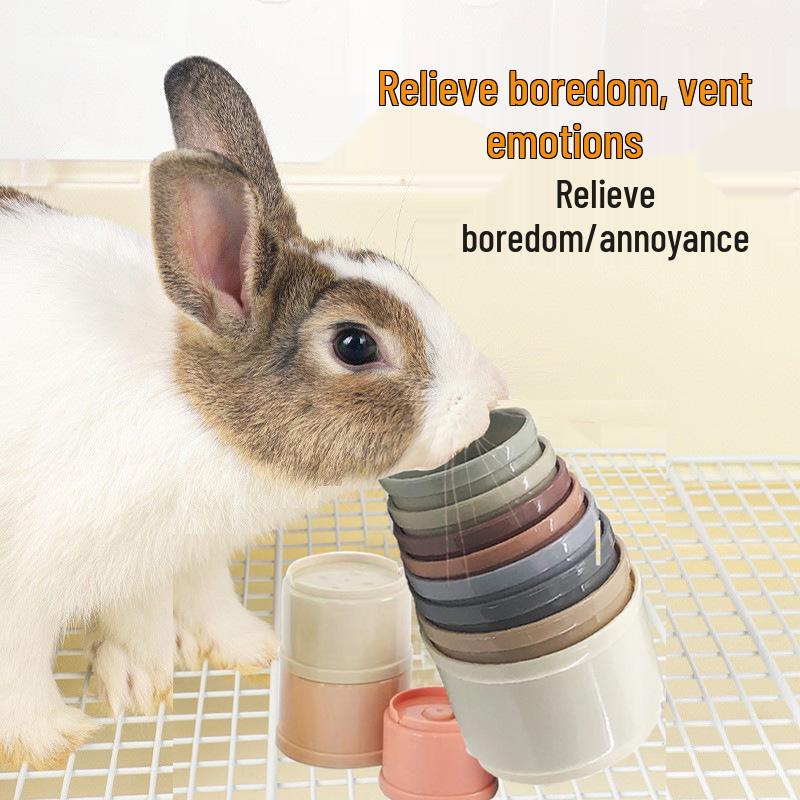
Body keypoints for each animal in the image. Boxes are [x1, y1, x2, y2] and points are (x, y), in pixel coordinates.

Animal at [0, 56, 507, 769]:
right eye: (355, 344)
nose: (492, 395)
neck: (199, 415)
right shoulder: (34, 573)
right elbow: (20, 659)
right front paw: (48, 738)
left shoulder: (172, 553)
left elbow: (181, 604)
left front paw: (225, 654)